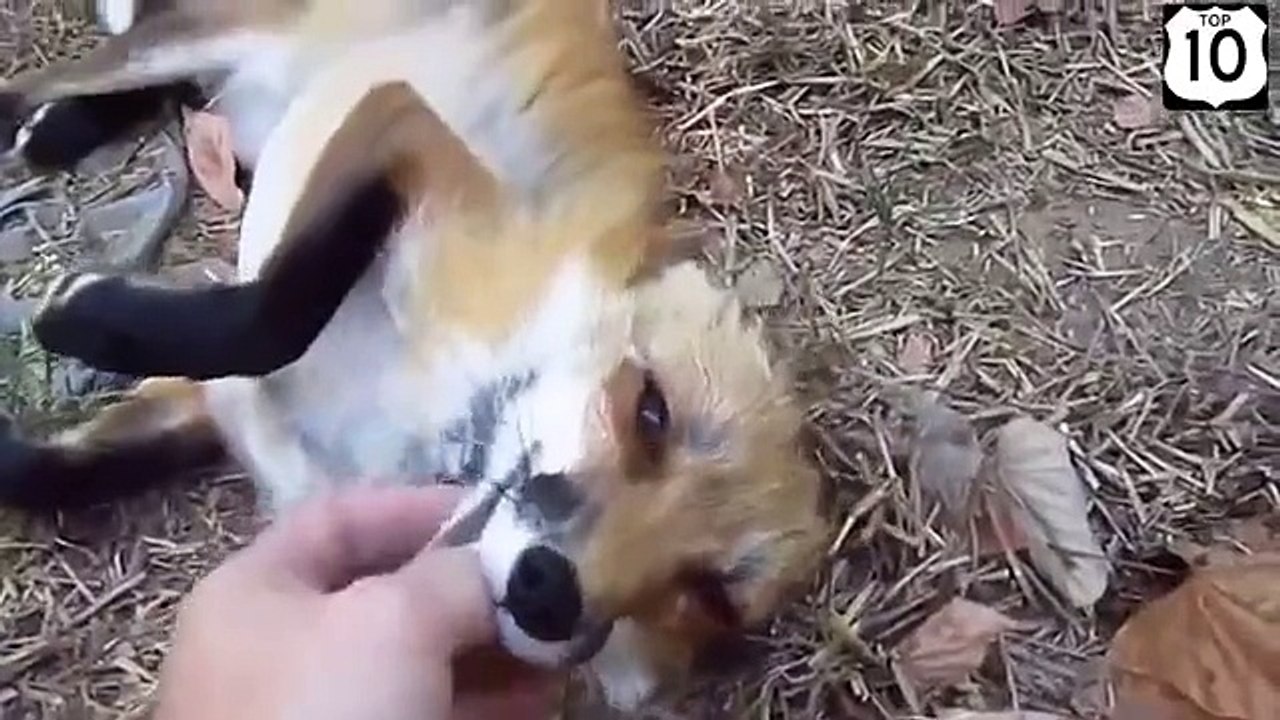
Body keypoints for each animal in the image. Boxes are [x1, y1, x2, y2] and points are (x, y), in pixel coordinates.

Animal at [0, 0, 830, 711]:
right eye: (653, 414)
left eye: (705, 594)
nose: (548, 593)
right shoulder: (401, 127)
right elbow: (275, 313)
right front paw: (84, 315)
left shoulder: (234, 402)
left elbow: (59, 471)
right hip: (207, 43)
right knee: (48, 81)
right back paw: (54, 124)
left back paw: (65, 129)